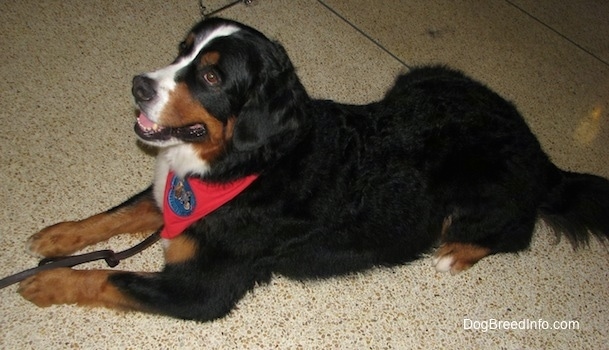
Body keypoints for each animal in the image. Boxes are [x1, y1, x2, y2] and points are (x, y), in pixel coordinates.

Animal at [19, 17, 608, 322]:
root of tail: (539, 153)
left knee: (516, 231)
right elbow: (118, 213)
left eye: (210, 78)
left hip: (480, 196)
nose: (139, 85)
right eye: (181, 51)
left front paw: (45, 283)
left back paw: (454, 254)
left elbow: (108, 279)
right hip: (424, 76)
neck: (250, 164)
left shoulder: (202, 289)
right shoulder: (170, 192)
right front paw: (57, 236)